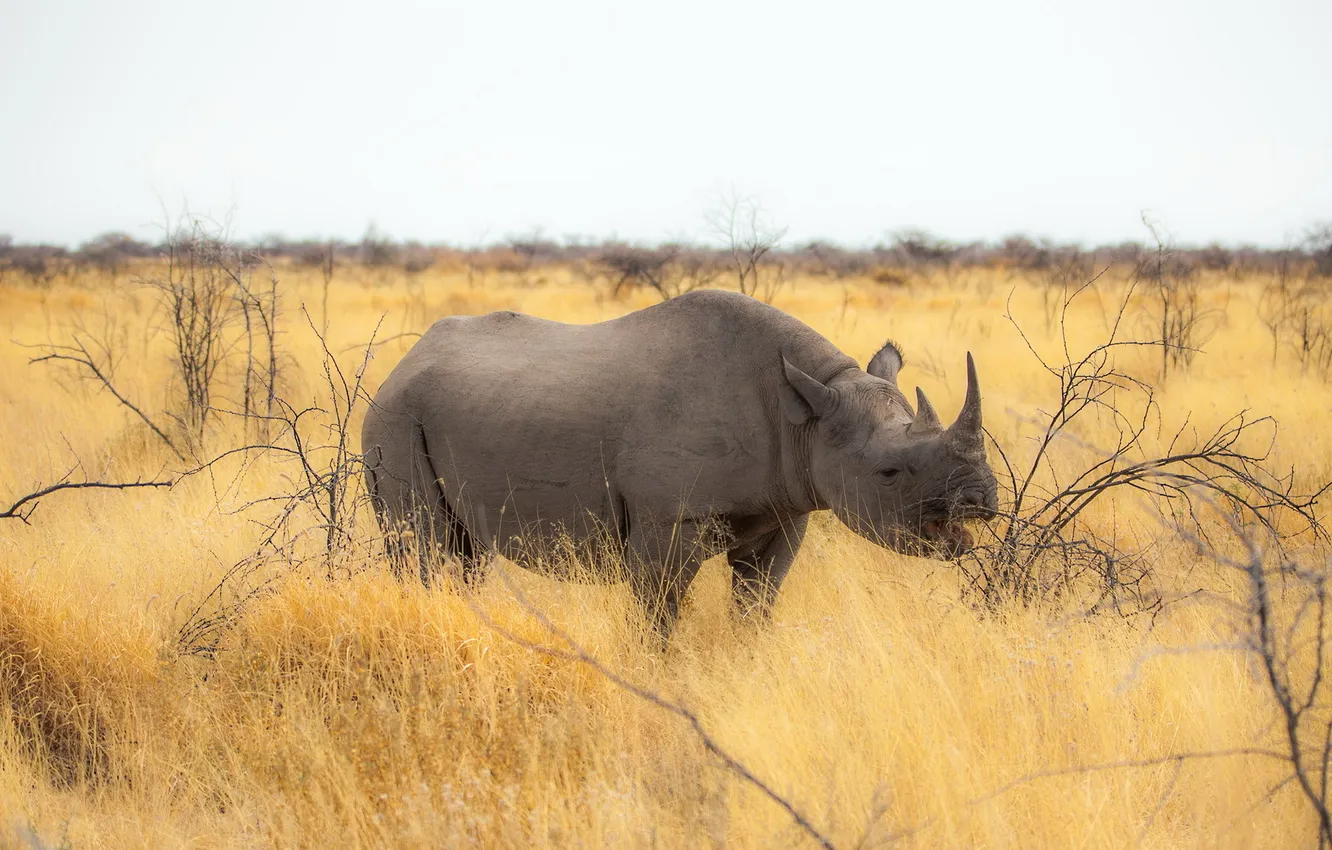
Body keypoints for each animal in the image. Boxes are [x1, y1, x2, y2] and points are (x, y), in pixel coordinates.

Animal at [361, 289, 998, 640]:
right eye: (889, 473)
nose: (983, 502)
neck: (806, 418)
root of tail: (400, 365)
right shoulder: (668, 517)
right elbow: (658, 610)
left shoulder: (785, 509)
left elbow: (756, 604)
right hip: (394, 418)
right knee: (425, 547)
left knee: (463, 554)